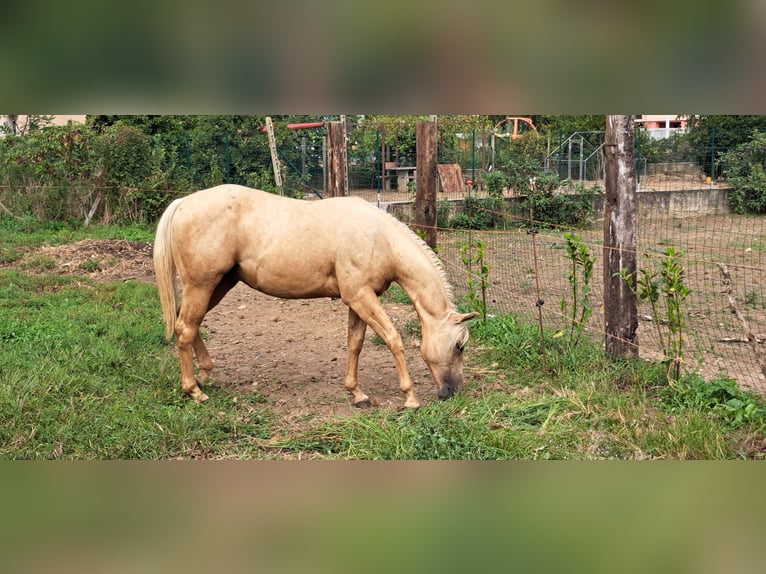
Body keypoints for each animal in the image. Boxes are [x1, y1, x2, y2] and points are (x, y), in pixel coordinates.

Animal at [152, 186, 476, 410]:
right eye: (459, 346)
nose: (454, 392)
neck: (379, 238)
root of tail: (184, 203)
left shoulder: (358, 299)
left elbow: (355, 344)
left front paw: (357, 394)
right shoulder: (361, 297)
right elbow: (393, 339)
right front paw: (410, 397)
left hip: (218, 285)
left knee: (188, 323)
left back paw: (203, 375)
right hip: (203, 285)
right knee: (185, 329)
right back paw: (195, 390)